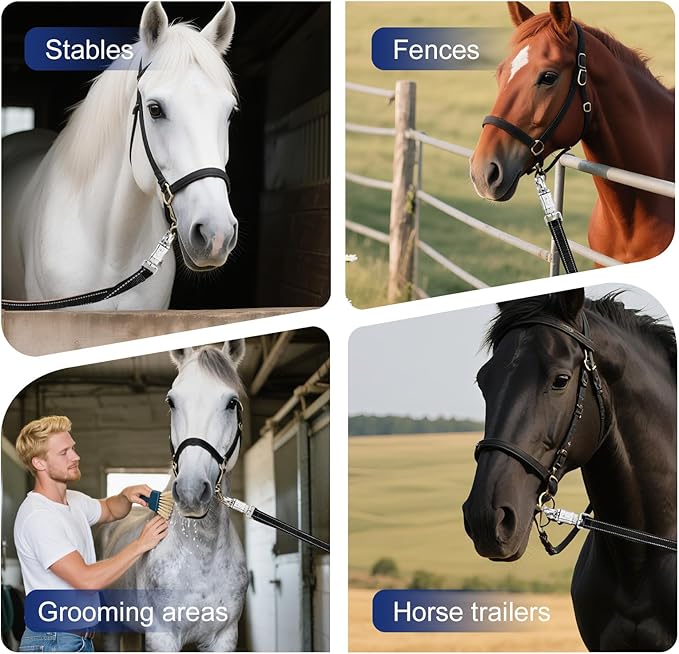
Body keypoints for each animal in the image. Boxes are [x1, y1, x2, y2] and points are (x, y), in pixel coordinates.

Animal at [99, 341, 248, 651]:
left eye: (232, 402)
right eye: (172, 402)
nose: (191, 491)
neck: (201, 554)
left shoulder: (224, 637)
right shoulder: (162, 636)